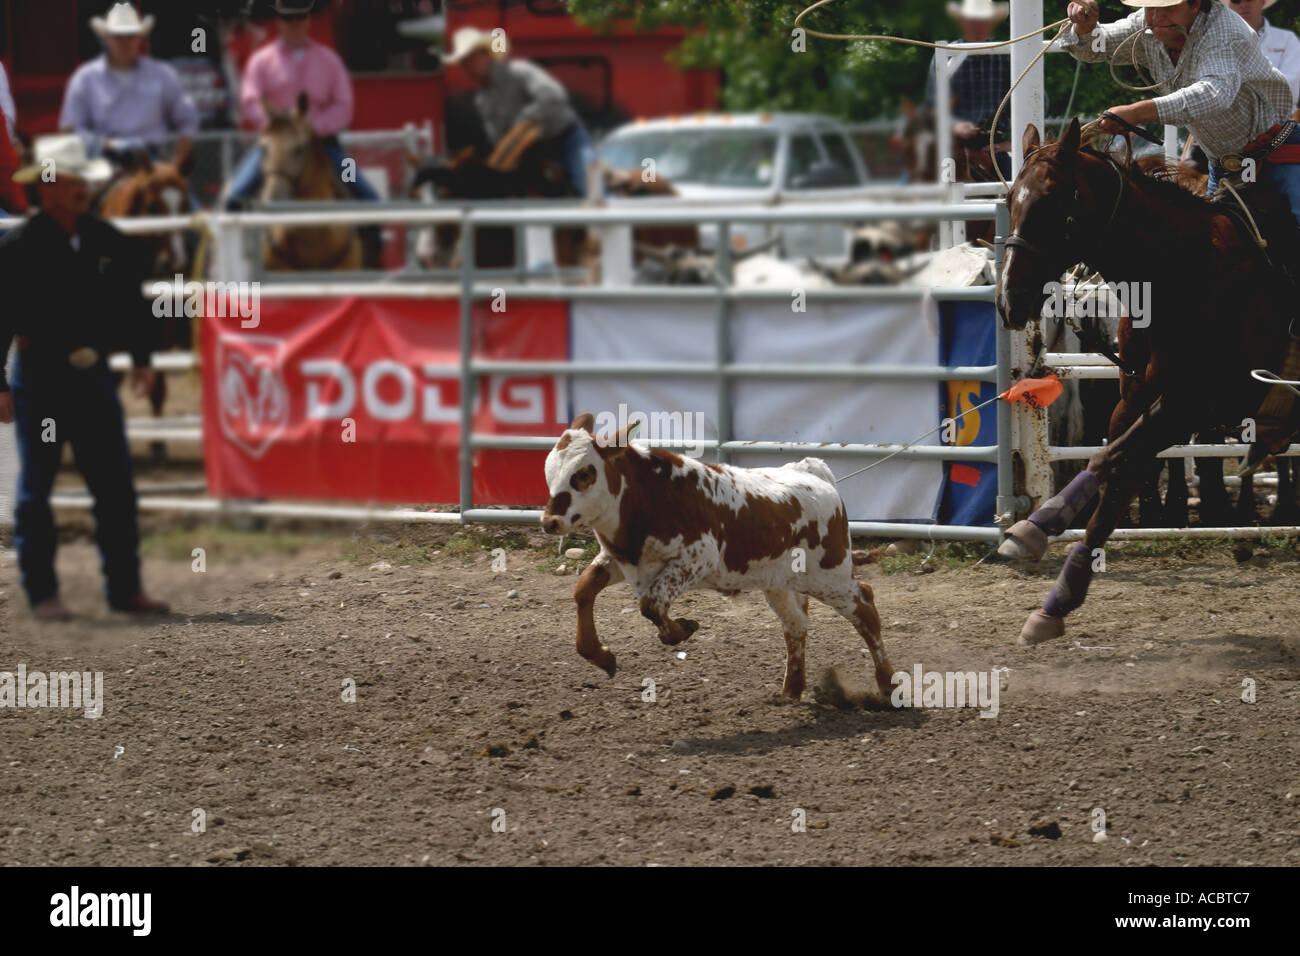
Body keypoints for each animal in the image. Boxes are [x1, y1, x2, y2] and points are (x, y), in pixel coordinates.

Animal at [540, 413, 895, 700]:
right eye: (549, 472)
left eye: (583, 473)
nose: (549, 521)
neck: (649, 497)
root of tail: (812, 474)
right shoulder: (622, 560)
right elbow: (584, 589)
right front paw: (600, 655)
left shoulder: (696, 559)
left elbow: (651, 604)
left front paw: (683, 628)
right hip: (779, 584)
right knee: (796, 624)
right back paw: (791, 691)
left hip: (828, 575)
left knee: (864, 606)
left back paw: (888, 686)